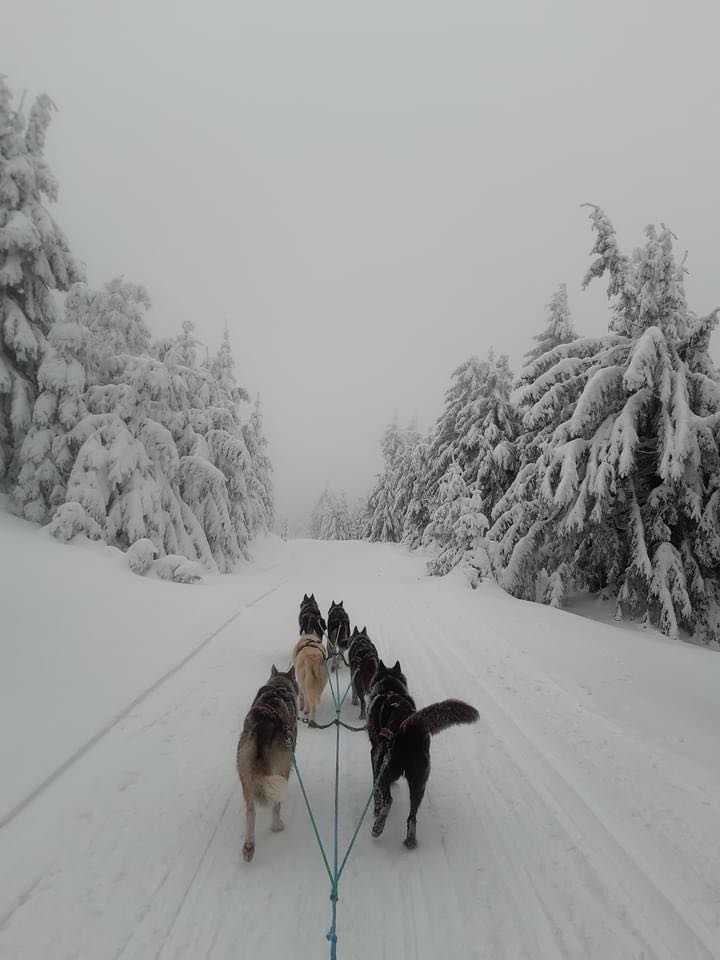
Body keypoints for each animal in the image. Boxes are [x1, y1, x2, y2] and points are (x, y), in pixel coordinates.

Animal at [366, 660, 478, 848]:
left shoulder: (375, 753)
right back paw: (410, 840)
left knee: (389, 801)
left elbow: (376, 791)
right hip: (419, 783)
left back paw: (378, 826)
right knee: (412, 816)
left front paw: (376, 808)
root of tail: (408, 727)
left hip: (387, 767)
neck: (390, 688)